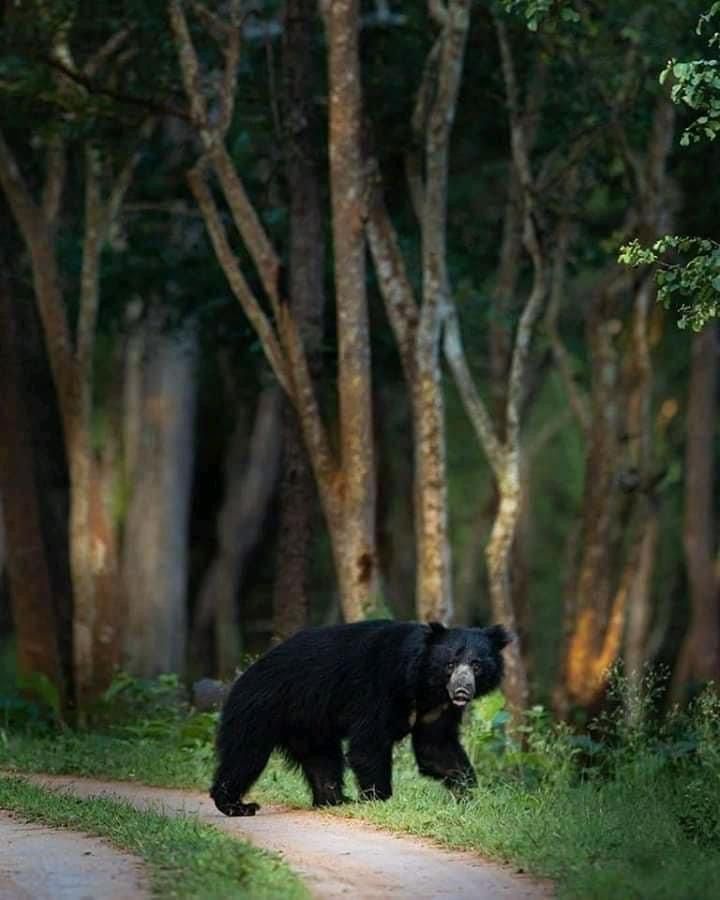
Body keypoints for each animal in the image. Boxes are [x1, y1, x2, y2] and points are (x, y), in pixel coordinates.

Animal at [210, 619, 512, 816]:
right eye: (450, 664)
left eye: (476, 665)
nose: (462, 690)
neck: (422, 684)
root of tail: (241, 676)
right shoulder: (378, 687)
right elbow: (369, 744)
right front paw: (381, 800)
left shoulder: (437, 707)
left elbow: (436, 748)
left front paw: (471, 797)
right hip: (261, 707)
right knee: (245, 754)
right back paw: (235, 805)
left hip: (309, 724)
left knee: (322, 760)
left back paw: (334, 799)